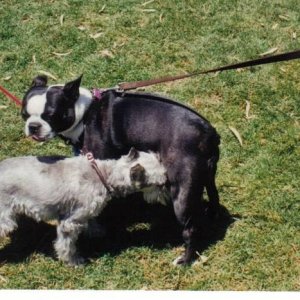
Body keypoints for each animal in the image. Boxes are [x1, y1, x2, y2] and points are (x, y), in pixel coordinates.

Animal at [0, 149, 166, 266]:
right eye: (159, 185)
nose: (167, 193)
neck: (105, 175)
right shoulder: (70, 222)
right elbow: (66, 245)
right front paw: (73, 262)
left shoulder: (86, 213)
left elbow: (92, 221)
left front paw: (97, 231)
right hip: (4, 220)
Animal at [21, 75, 220, 264]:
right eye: (24, 114)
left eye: (50, 115)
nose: (33, 126)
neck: (83, 115)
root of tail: (209, 133)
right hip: (206, 177)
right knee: (214, 197)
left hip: (182, 191)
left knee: (190, 228)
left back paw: (185, 260)